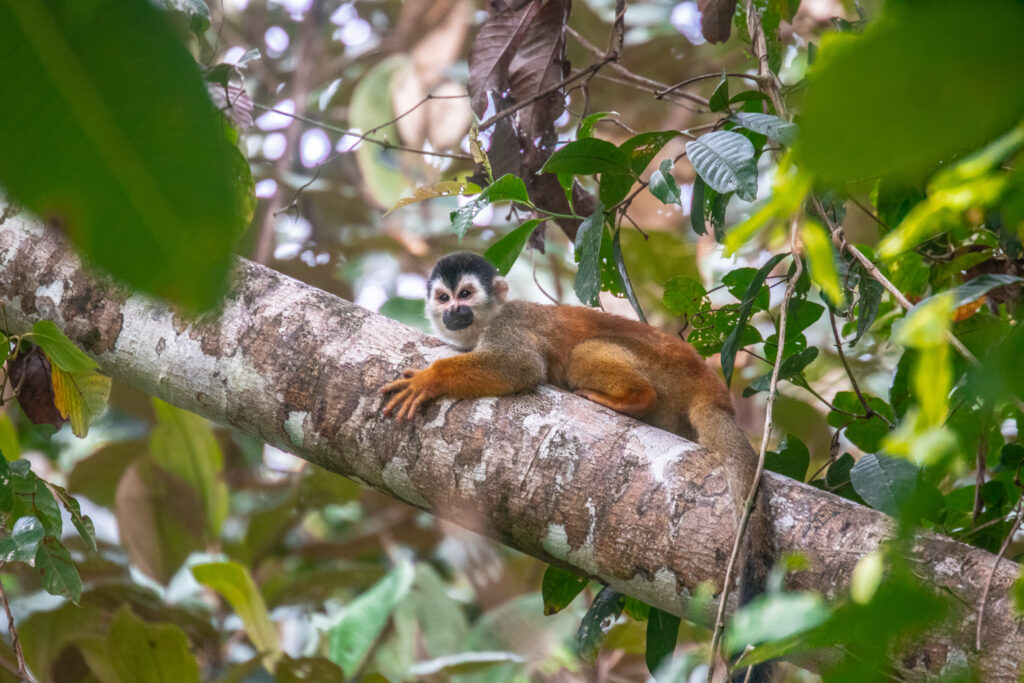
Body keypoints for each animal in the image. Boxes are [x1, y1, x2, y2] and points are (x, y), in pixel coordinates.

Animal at [379, 252, 773, 682]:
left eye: (466, 294)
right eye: (444, 297)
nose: (454, 310)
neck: (486, 321)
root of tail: (711, 387)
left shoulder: (509, 325)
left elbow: (519, 367)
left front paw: (430, 379)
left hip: (666, 376)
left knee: (585, 350)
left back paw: (632, 398)